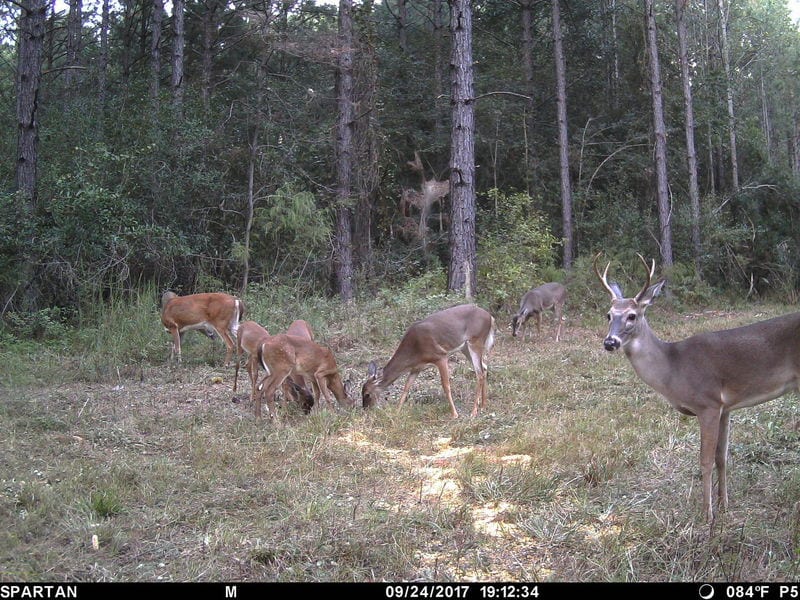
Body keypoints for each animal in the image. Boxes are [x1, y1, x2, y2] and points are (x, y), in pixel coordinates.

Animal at [361, 304, 496, 419]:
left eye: (367, 394)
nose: (365, 409)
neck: (414, 351)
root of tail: (490, 317)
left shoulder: (440, 356)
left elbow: (446, 385)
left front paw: (454, 414)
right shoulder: (416, 368)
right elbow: (406, 387)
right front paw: (397, 411)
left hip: (476, 340)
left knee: (479, 373)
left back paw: (474, 411)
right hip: (465, 347)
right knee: (484, 367)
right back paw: (483, 405)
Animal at [594, 252, 800, 523]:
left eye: (632, 316)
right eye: (608, 315)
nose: (610, 342)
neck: (673, 368)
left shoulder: (708, 403)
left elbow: (705, 460)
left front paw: (707, 514)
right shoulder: (725, 408)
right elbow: (722, 457)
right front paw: (724, 504)